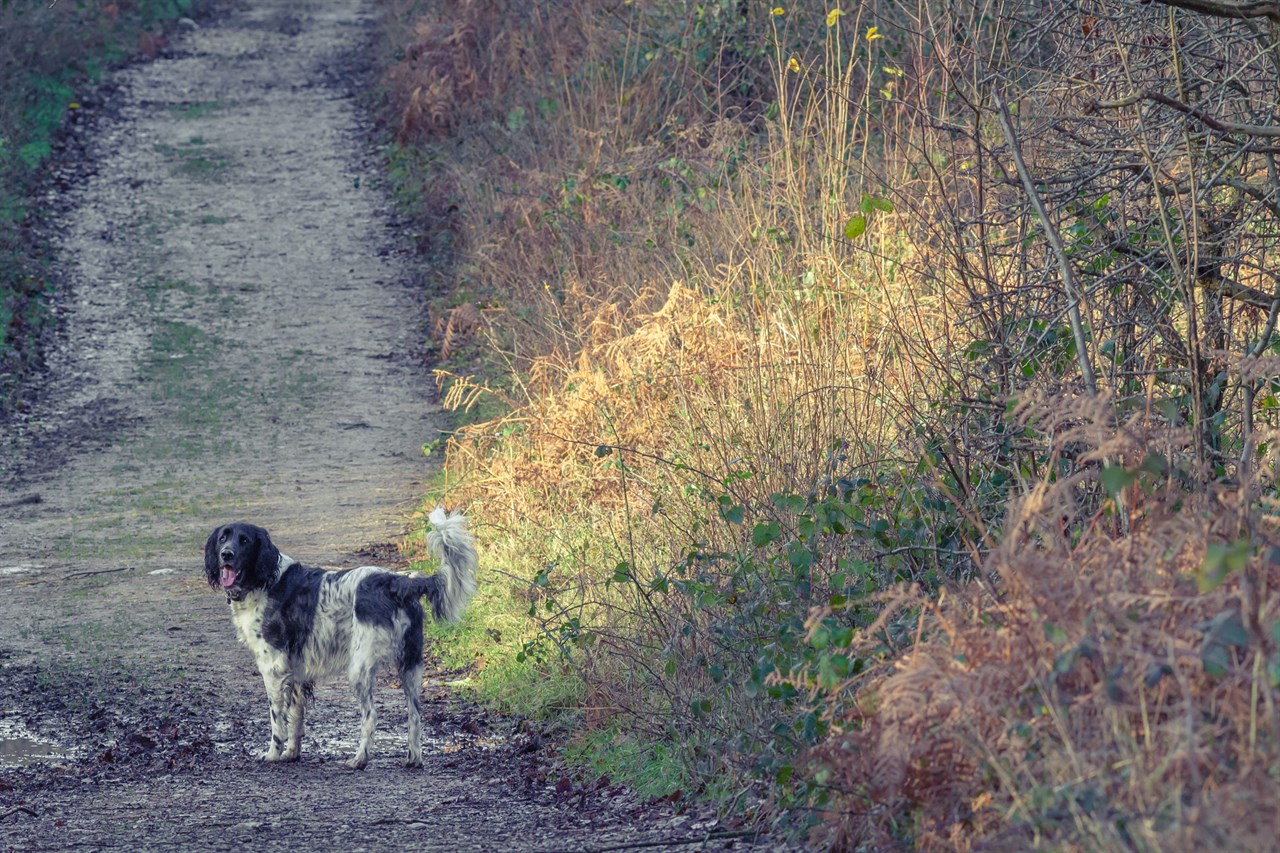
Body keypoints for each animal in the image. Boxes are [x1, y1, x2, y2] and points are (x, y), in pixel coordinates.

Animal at [204, 507, 476, 768]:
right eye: (223, 538)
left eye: (245, 540)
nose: (226, 554)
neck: (264, 581)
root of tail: (397, 581)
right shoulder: (296, 669)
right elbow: (296, 718)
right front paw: (291, 754)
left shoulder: (273, 667)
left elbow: (277, 720)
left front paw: (272, 754)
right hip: (410, 665)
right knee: (415, 715)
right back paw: (413, 759)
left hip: (360, 668)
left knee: (371, 715)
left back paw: (359, 760)